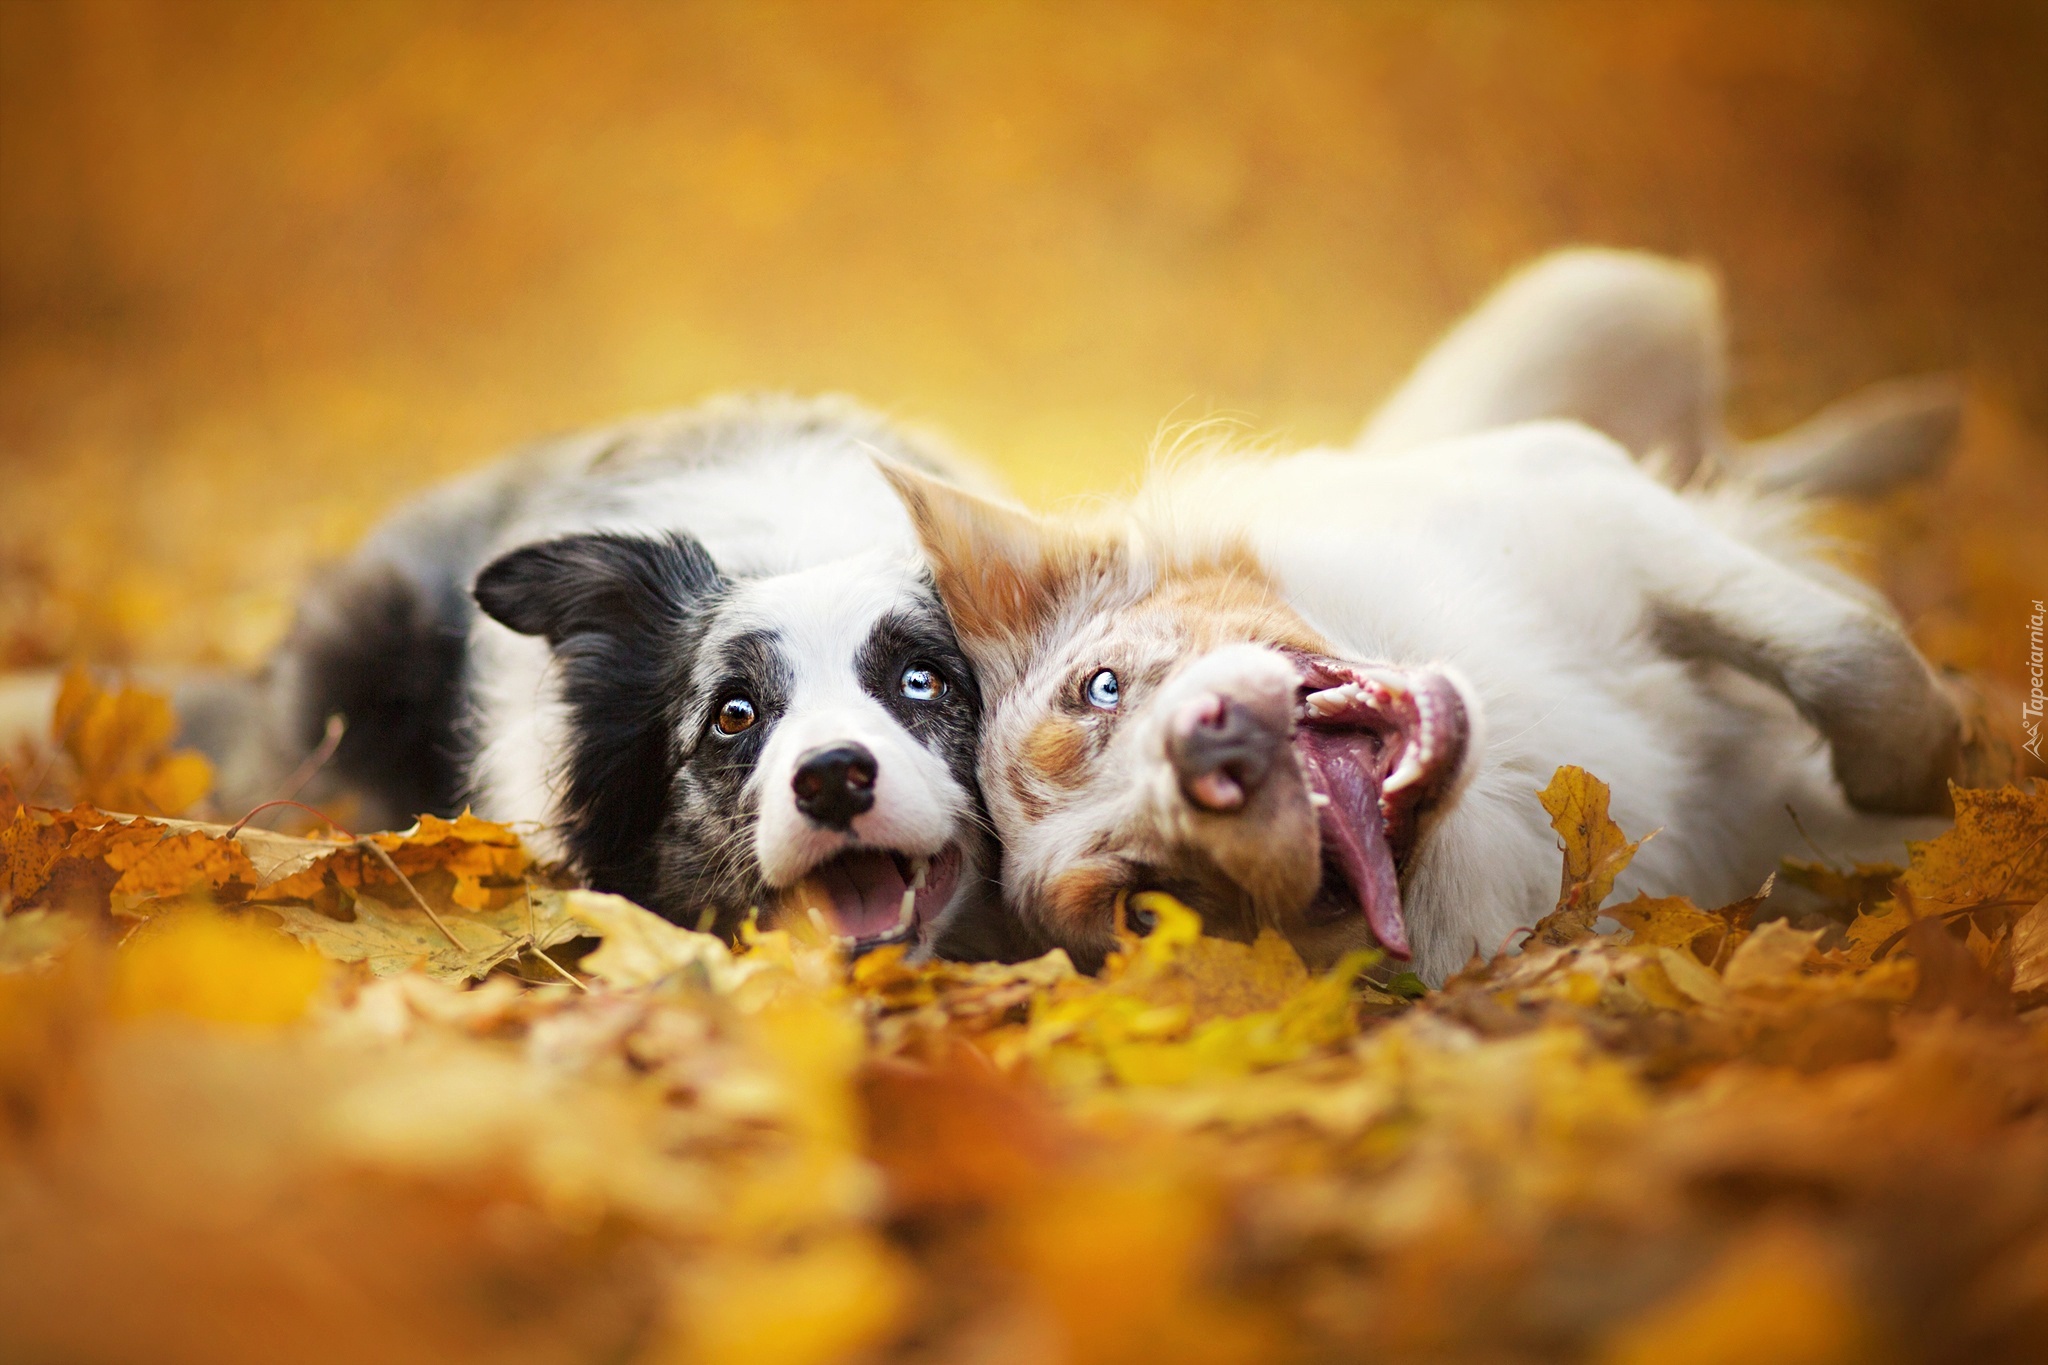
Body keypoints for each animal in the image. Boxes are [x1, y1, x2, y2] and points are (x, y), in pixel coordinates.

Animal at [888, 250, 1974, 982]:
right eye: (1142, 911)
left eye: (1099, 687)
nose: (1213, 748)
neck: (1513, 764)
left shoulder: (1598, 506)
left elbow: (1849, 654)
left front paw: (1932, 753)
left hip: (1592, 298)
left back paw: (1905, 427)